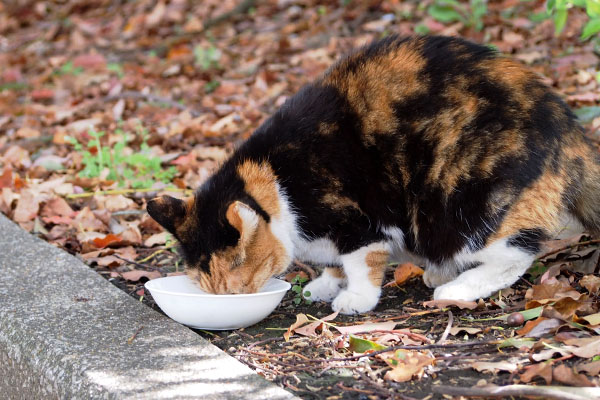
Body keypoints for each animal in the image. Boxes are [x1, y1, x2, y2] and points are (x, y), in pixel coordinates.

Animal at [148, 36, 600, 314]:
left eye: (236, 292)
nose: (233, 302)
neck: (276, 178)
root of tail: (568, 128)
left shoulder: (357, 220)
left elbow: (362, 261)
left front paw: (355, 298)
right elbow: (335, 263)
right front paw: (326, 283)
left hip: (469, 204)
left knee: (516, 253)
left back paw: (456, 287)